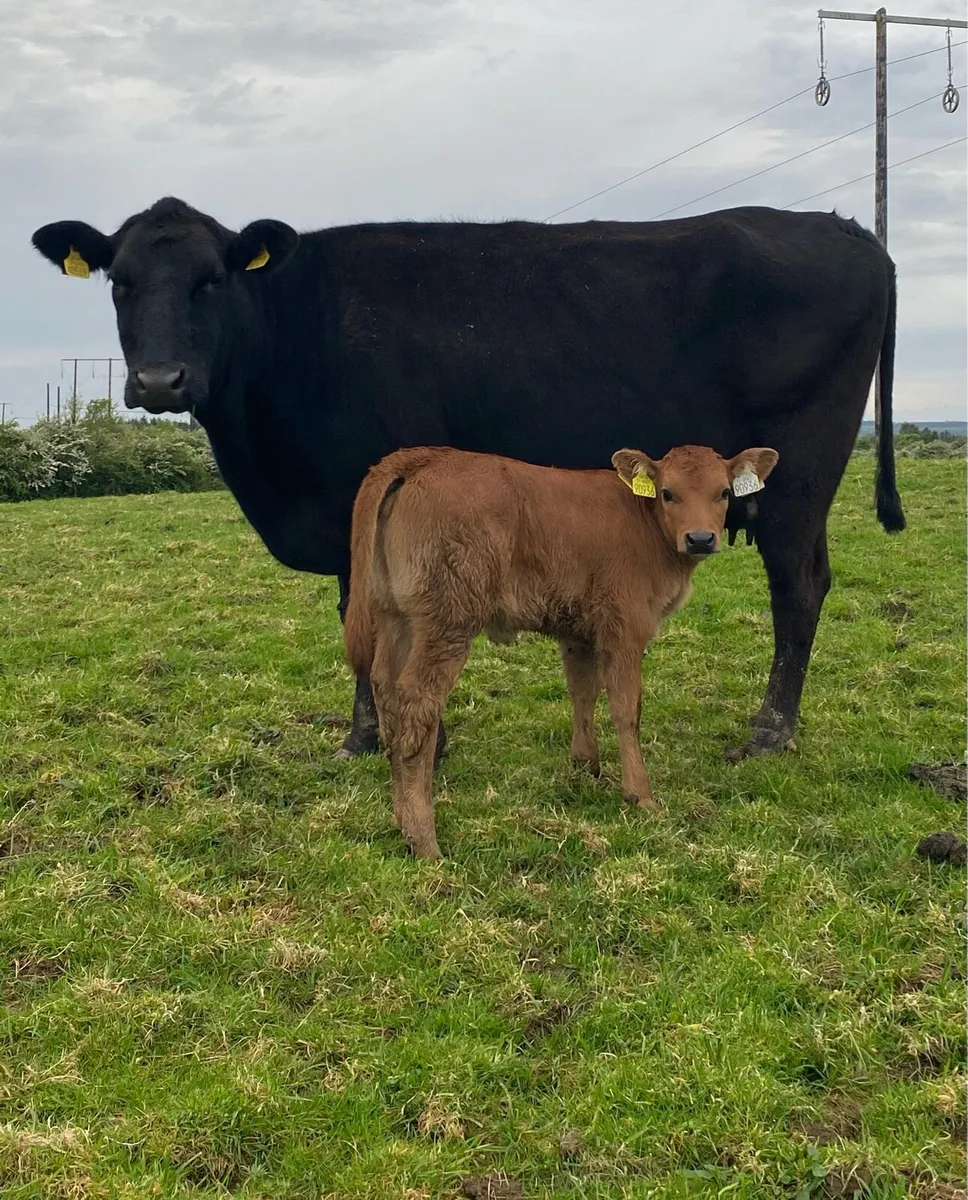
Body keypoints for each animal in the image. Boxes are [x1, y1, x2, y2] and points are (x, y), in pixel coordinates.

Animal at [31, 200, 904, 763]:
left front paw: (393, 736)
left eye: (212, 279)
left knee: (799, 588)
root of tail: (845, 227)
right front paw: (372, 735)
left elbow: (374, 616)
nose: (159, 380)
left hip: (794, 480)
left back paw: (770, 732)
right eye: (119, 281)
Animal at [344, 443, 779, 859]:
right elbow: (626, 709)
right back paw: (423, 839)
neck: (646, 525)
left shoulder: (579, 630)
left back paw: (401, 817)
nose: (701, 538)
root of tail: (423, 457)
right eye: (667, 493)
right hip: (447, 619)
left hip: (396, 615)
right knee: (419, 702)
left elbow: (582, 691)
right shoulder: (626, 627)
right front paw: (640, 795)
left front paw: (585, 765)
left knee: (385, 688)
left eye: (724, 493)